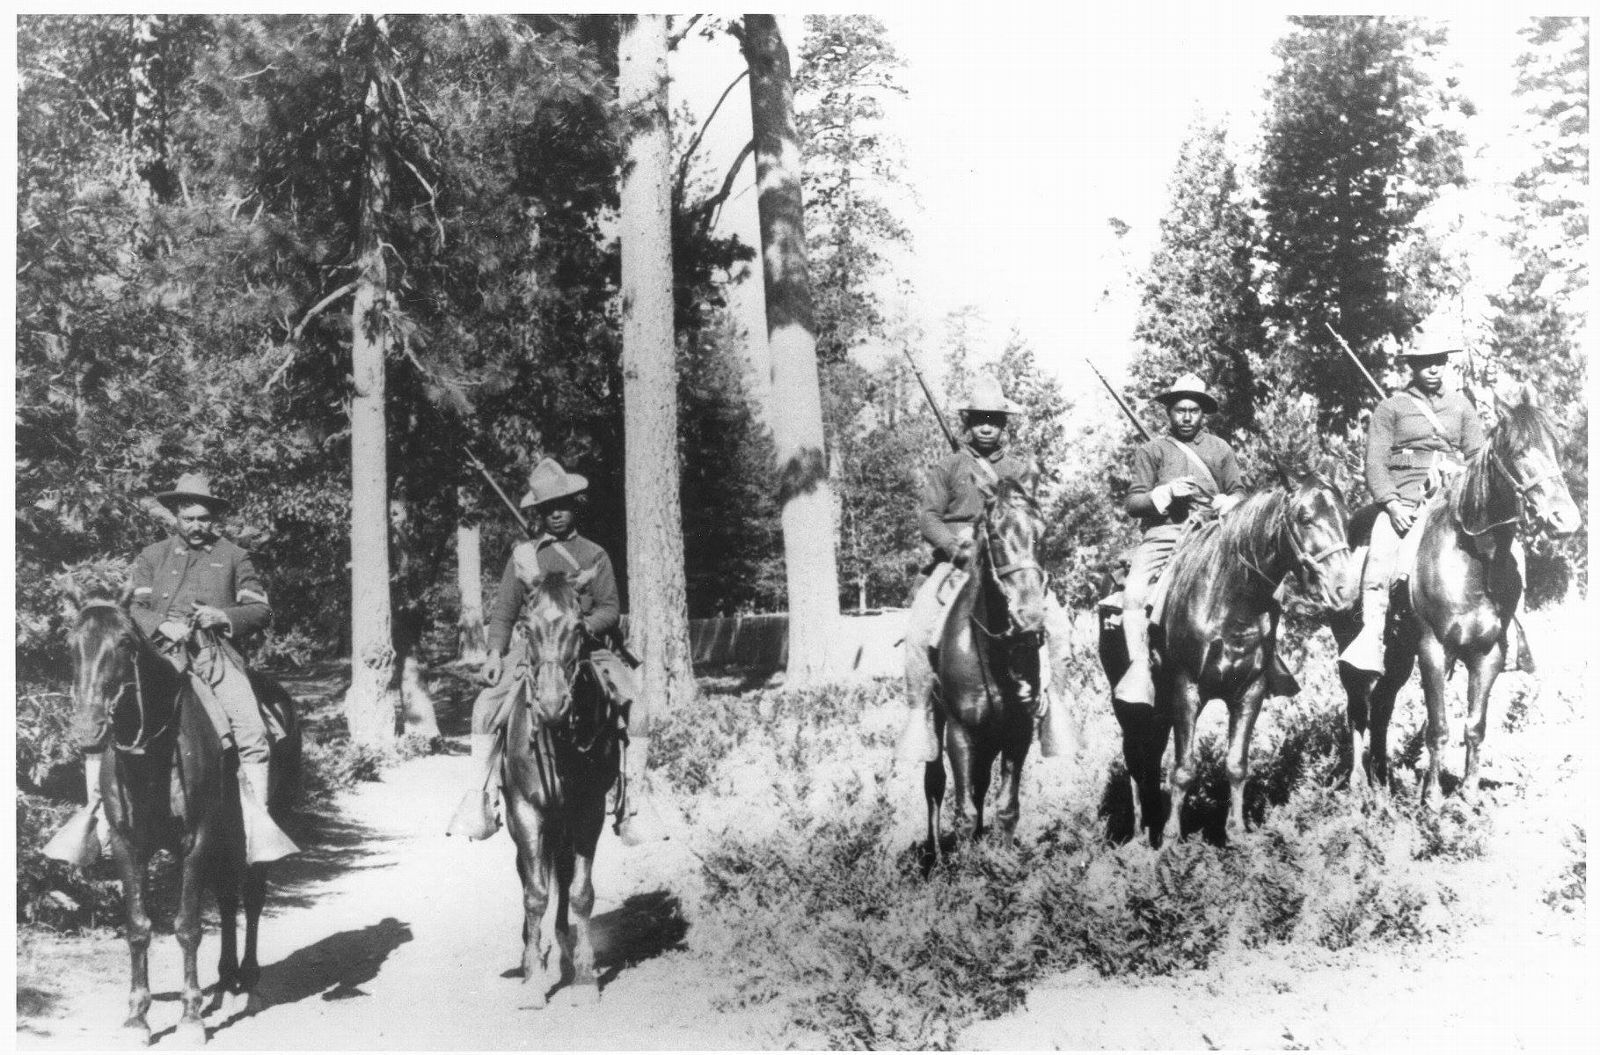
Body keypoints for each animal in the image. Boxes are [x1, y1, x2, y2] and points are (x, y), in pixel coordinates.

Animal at [66, 595, 300, 1050]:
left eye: (125, 642)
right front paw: (137, 1017)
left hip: (255, 831)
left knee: (252, 899)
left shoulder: (197, 839)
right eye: (72, 644)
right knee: (227, 900)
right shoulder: (128, 844)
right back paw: (226, 982)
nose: (88, 730)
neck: (153, 754)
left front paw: (190, 1018)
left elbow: (188, 926)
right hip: (226, 839)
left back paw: (249, 985)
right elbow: (139, 927)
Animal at [499, 573, 617, 1011]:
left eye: (579, 628)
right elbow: (535, 893)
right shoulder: (525, 811)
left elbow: (580, 892)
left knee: (564, 878)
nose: (551, 704)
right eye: (527, 628)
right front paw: (534, 978)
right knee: (530, 875)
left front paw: (584, 977)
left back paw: (565, 948)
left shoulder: (588, 811)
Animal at [928, 480, 1049, 858]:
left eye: (1041, 533)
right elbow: (964, 811)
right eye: (995, 535)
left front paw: (1004, 861)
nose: (1030, 618)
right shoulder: (960, 732)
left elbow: (1007, 807)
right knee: (934, 784)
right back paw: (935, 857)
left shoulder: (1018, 730)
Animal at [1113, 480, 1363, 851]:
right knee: (1135, 760)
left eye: (1347, 518)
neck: (1231, 599)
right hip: (1132, 707)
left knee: (1150, 758)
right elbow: (1184, 769)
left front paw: (1238, 833)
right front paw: (1171, 840)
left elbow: (1236, 764)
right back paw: (1139, 835)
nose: (1345, 591)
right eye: (1304, 518)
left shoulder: (1250, 692)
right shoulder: (1186, 690)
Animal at [1331, 387, 1580, 810]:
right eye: (1518, 451)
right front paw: (1431, 799)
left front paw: (1468, 795)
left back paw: (1383, 784)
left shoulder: (1487, 655)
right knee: (1358, 711)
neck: (1472, 562)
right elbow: (1439, 727)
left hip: (1399, 657)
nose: (1566, 520)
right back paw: (1360, 786)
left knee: (1382, 709)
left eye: (1557, 447)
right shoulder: (1433, 649)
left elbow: (1475, 727)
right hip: (1360, 653)